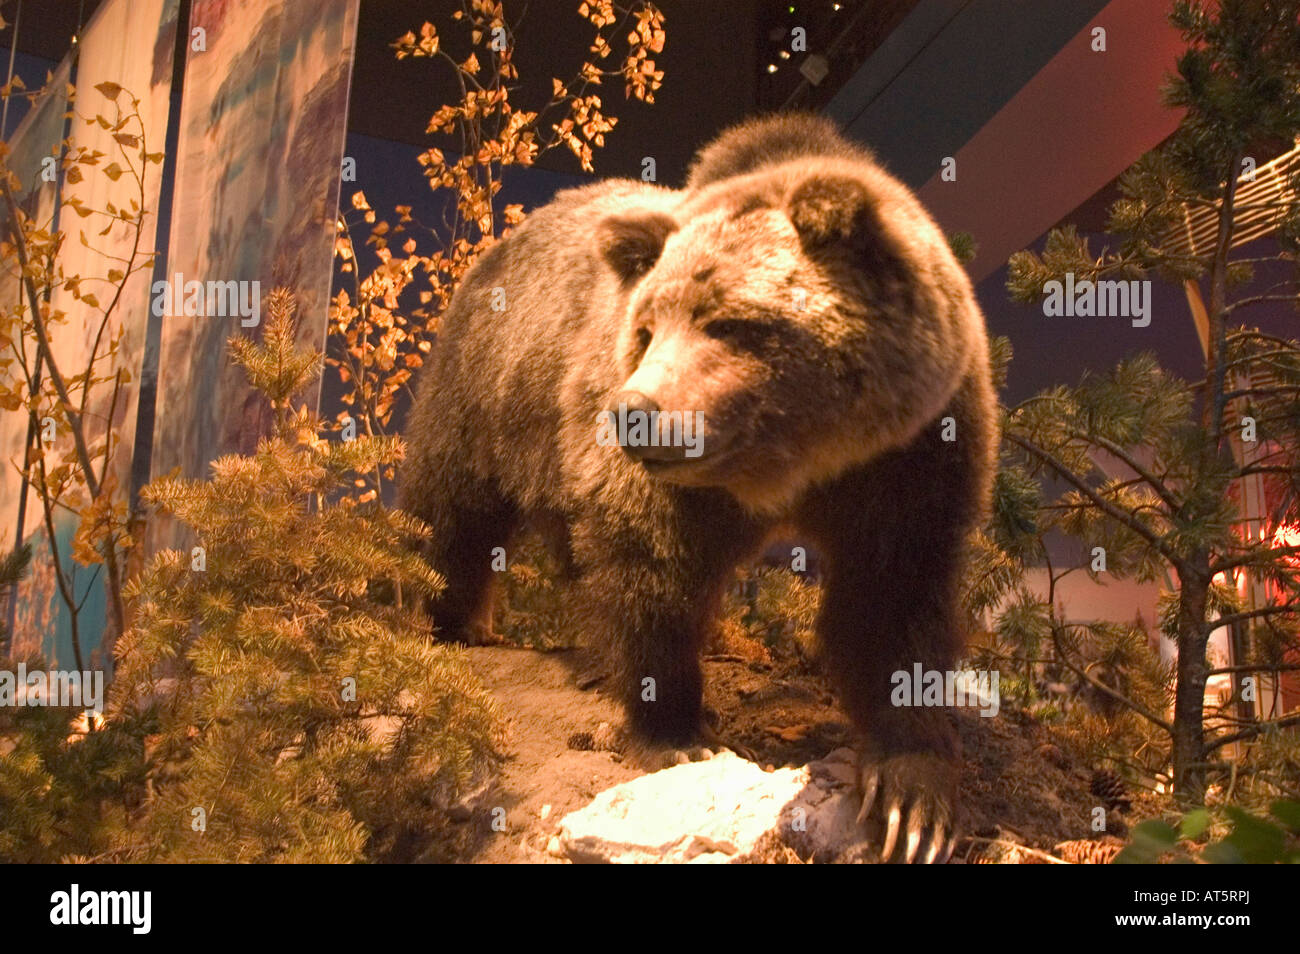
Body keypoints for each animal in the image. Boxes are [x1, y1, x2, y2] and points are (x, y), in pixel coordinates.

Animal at [399, 113, 997, 863]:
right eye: (647, 327)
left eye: (725, 320)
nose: (635, 411)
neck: (793, 462)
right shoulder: (667, 485)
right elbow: (650, 570)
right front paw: (675, 732)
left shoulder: (911, 456)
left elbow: (893, 597)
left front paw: (911, 797)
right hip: (488, 385)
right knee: (451, 511)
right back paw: (445, 621)